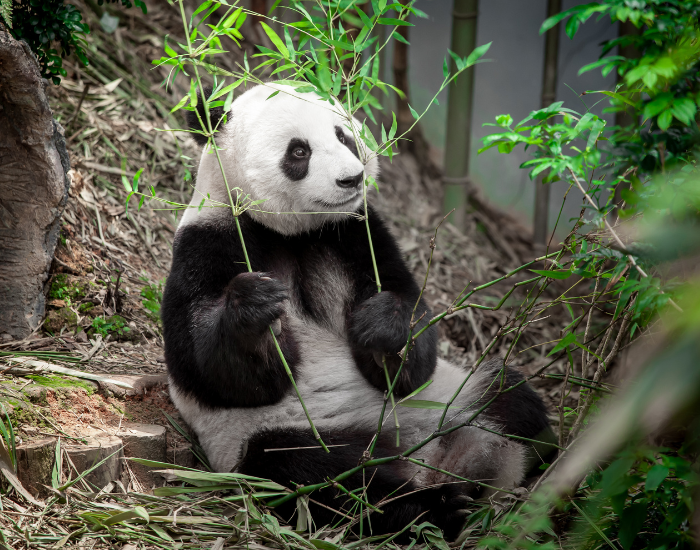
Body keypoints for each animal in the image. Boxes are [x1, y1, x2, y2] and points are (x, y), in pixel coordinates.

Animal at [161, 84, 552, 539]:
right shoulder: (208, 242)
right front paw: (256, 307)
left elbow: (409, 327)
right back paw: (435, 508)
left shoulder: (356, 232)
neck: (293, 232)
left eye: (344, 136)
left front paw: (382, 325)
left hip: (453, 394)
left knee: (510, 397)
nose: (352, 177)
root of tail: (427, 457)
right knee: (317, 475)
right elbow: (212, 372)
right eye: (299, 151)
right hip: (276, 435)